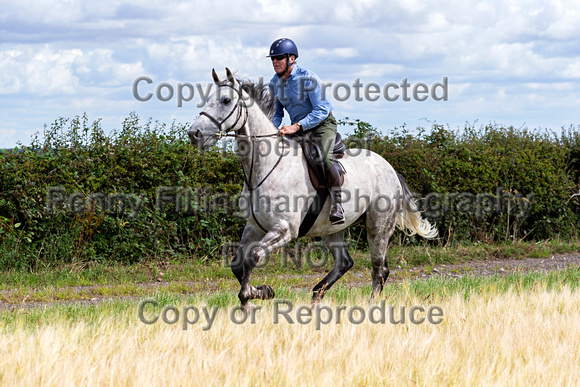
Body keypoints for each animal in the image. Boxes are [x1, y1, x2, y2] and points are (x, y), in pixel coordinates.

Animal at [188, 67, 438, 310]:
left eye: (226, 100)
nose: (194, 134)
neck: (265, 167)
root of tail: (389, 168)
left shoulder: (285, 229)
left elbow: (254, 256)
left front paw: (250, 295)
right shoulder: (254, 227)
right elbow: (237, 264)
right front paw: (261, 292)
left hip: (378, 226)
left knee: (379, 269)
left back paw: (370, 306)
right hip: (333, 228)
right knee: (345, 262)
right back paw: (317, 294)